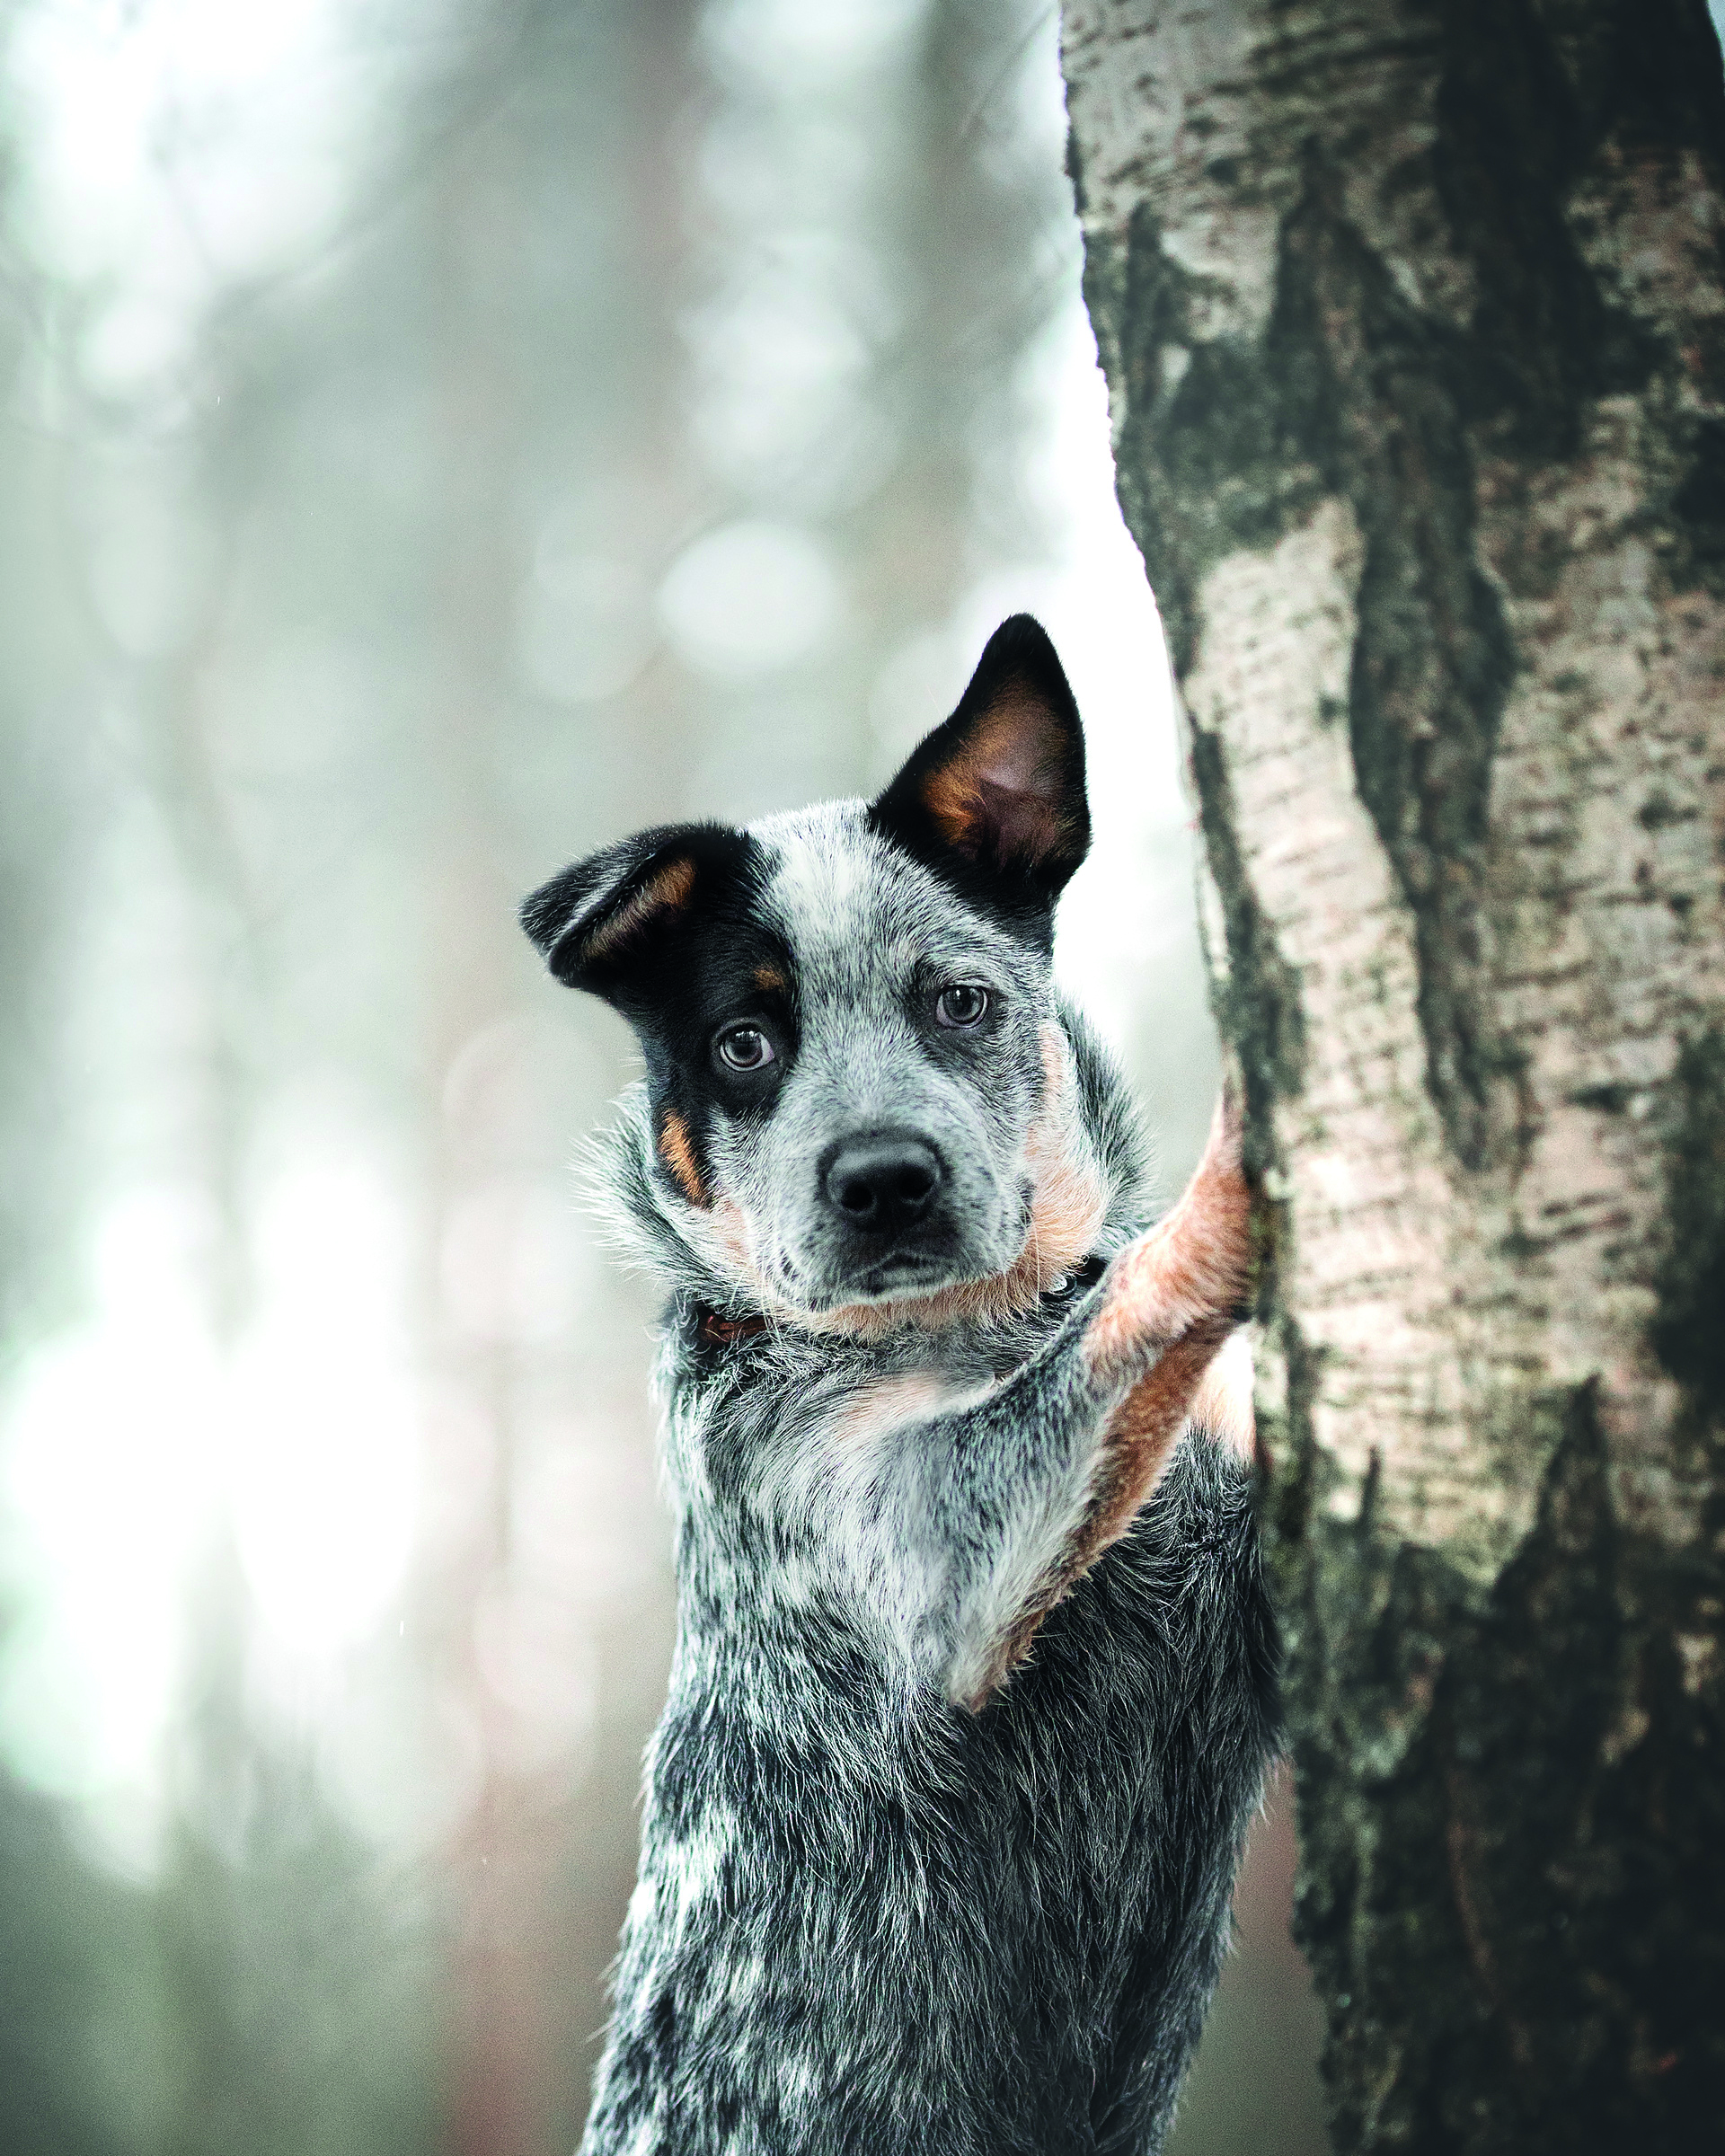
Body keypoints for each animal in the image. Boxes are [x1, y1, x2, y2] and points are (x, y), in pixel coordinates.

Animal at [521, 621, 1276, 2156]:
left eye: (958, 1000)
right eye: (745, 1046)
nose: (883, 1180)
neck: (968, 1328)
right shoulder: (919, 1547)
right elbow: (1122, 1302)